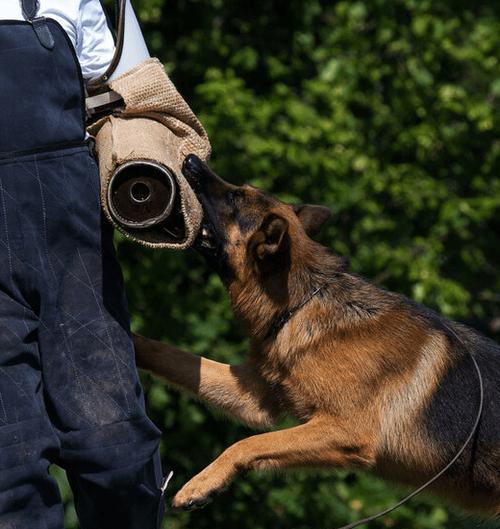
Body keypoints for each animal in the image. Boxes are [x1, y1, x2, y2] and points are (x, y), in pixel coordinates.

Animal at [133, 154, 500, 516]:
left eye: (235, 198)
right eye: (239, 189)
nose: (191, 160)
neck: (301, 303)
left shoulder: (344, 431)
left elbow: (249, 442)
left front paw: (201, 484)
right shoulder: (254, 398)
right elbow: (168, 353)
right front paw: (132, 341)